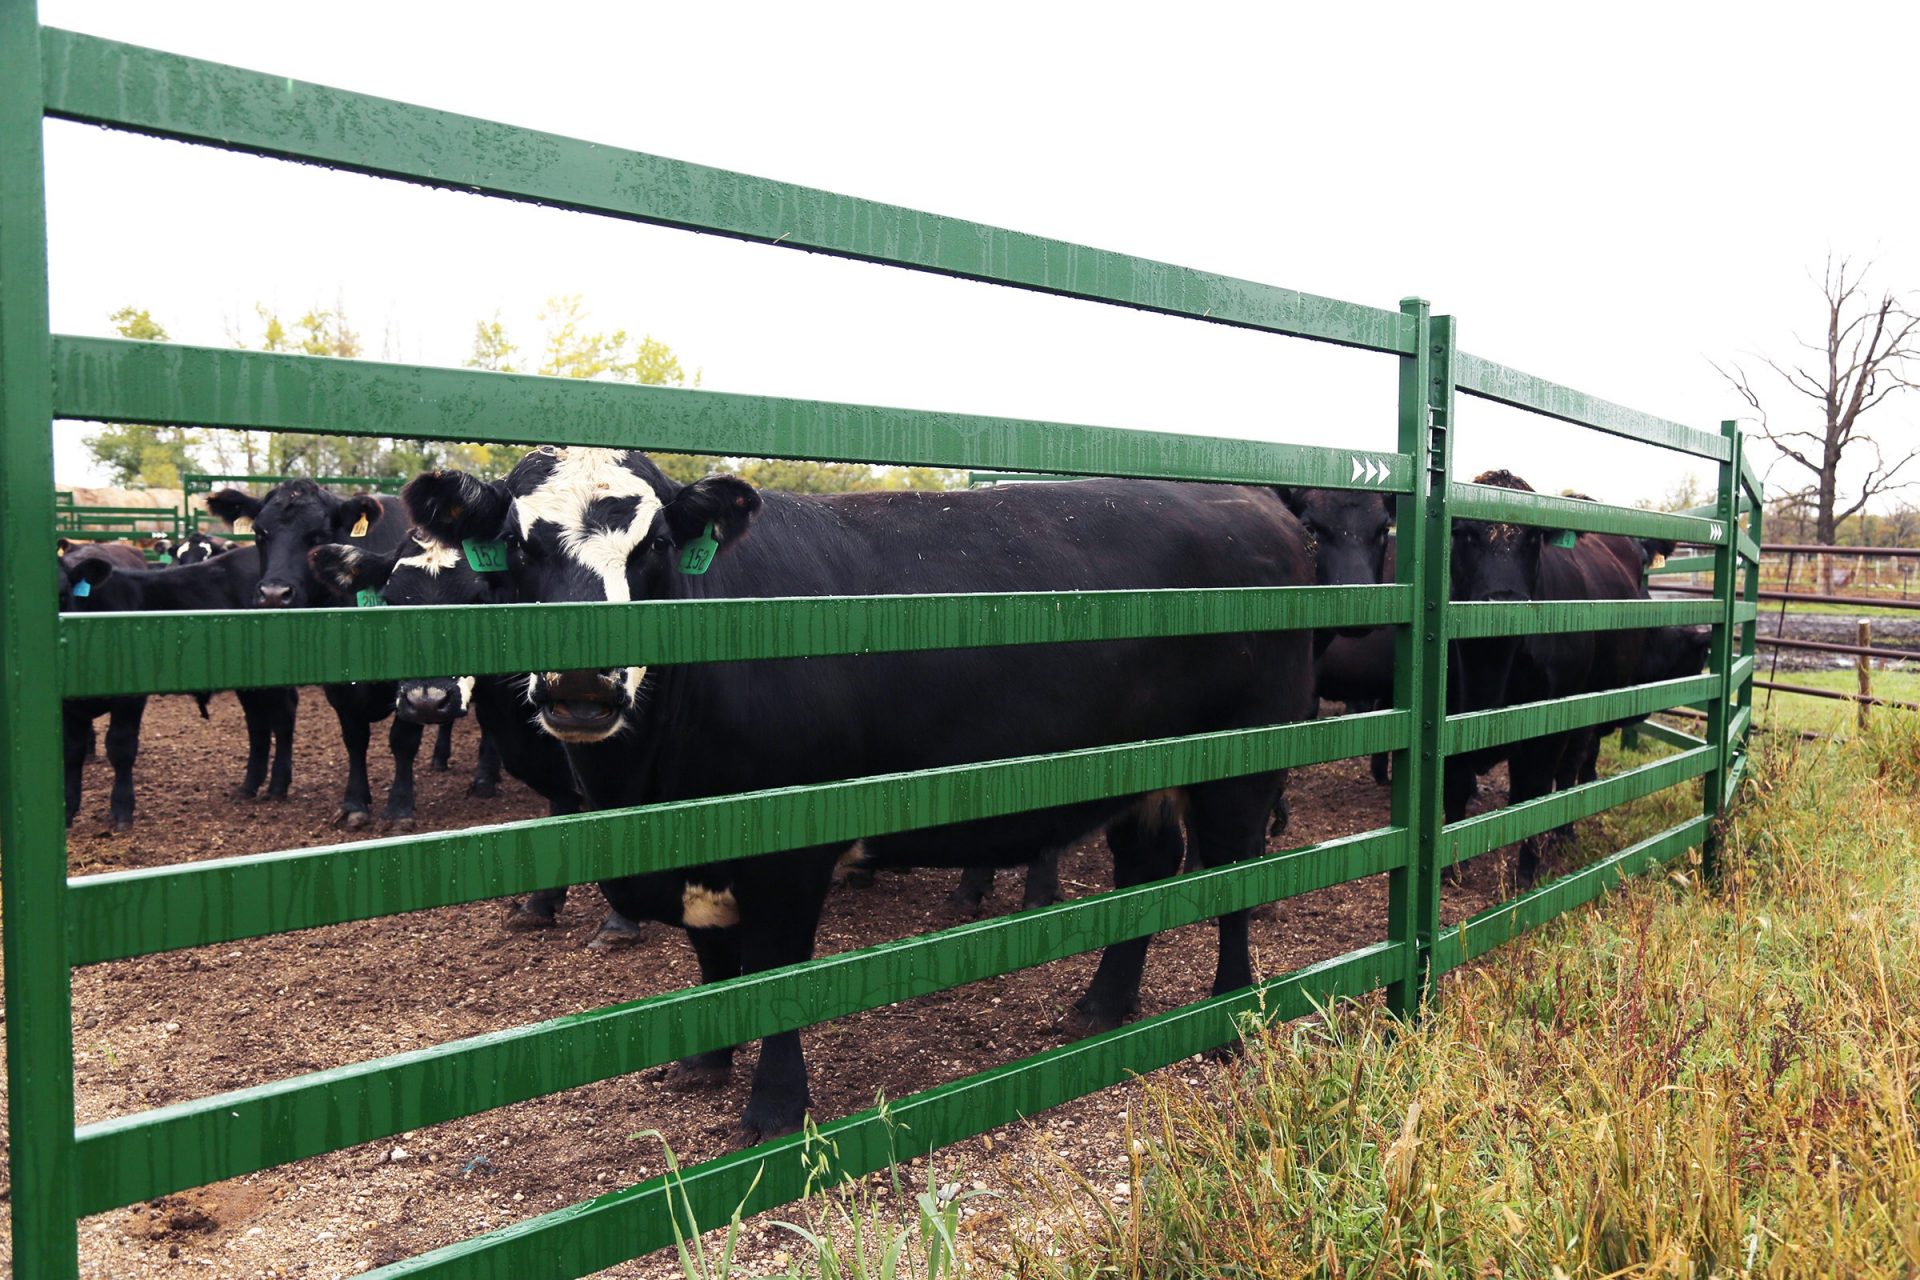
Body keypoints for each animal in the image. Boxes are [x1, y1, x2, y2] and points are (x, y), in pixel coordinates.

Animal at [61, 545, 299, 832]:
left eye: (62, 594)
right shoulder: (69, 706)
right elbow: (71, 752)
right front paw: (67, 811)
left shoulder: (130, 697)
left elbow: (120, 748)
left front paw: (121, 810)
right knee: (258, 723)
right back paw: (248, 786)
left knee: (284, 717)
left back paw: (277, 786)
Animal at [405, 449, 1320, 1143]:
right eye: (516, 545)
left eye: (656, 542)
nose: (583, 683)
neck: (650, 792)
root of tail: (1249, 500)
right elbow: (712, 962)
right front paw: (705, 1062)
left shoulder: (790, 848)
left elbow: (772, 973)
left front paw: (775, 1109)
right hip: (1138, 770)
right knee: (1148, 868)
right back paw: (1101, 1005)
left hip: (1246, 754)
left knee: (1235, 875)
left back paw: (1231, 1013)